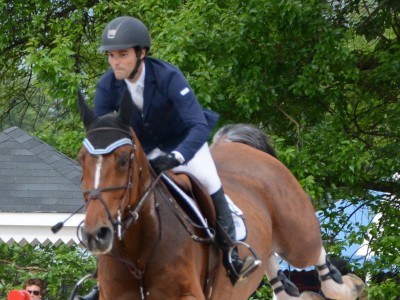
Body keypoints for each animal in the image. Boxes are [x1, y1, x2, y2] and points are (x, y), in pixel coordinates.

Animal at [76, 92, 364, 300]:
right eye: (82, 159)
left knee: (313, 251)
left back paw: (346, 287)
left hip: (296, 234)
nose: (96, 234)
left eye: (124, 159)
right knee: (271, 262)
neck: (139, 248)